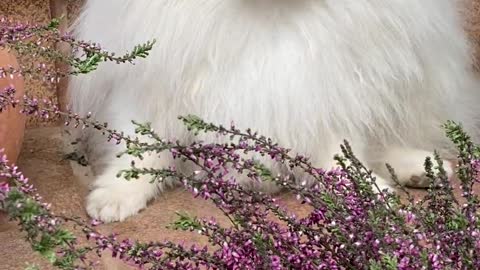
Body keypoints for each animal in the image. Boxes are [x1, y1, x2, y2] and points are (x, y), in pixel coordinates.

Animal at [66, 1, 480, 223]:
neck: (268, 15)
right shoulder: (151, 89)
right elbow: (140, 149)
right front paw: (117, 194)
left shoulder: (330, 93)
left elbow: (341, 156)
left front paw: (366, 193)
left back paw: (421, 167)